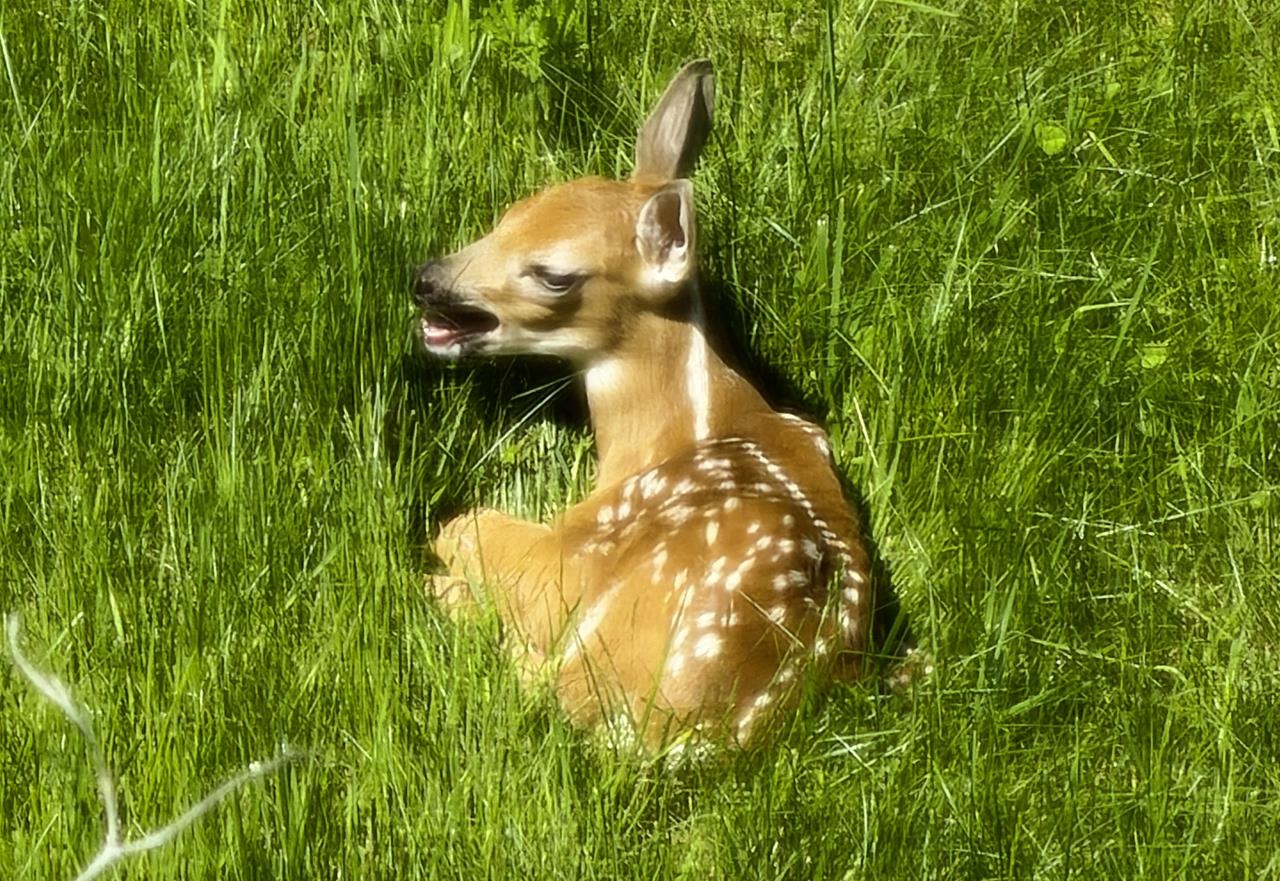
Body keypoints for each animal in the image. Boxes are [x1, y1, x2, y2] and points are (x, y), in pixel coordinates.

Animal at [414, 60, 880, 753]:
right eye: (510, 214)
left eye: (554, 274)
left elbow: (461, 524)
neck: (677, 430)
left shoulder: (568, 563)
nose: (426, 280)